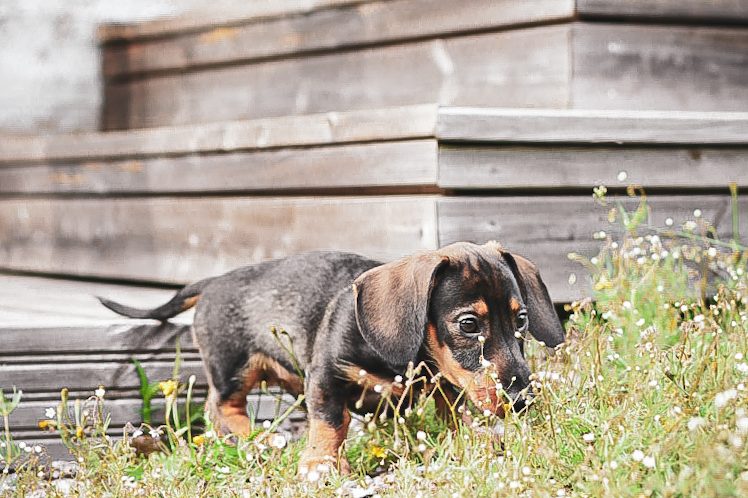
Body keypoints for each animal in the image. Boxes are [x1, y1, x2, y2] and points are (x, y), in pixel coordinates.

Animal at [101, 241, 568, 474]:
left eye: (522, 319)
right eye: (469, 324)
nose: (522, 401)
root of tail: (214, 280)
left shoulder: (445, 382)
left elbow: (454, 413)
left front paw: (474, 445)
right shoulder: (325, 373)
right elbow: (331, 421)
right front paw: (321, 465)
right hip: (233, 366)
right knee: (221, 408)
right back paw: (257, 438)